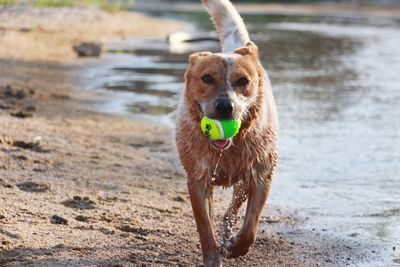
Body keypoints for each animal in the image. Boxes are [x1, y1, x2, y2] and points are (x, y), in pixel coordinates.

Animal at [176, 1, 278, 266]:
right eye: (207, 78)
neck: (227, 150)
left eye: (243, 81)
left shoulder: (261, 175)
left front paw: (235, 246)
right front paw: (213, 258)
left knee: (233, 207)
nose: (225, 106)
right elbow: (204, 228)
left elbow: (250, 228)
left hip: (243, 181)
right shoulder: (198, 180)